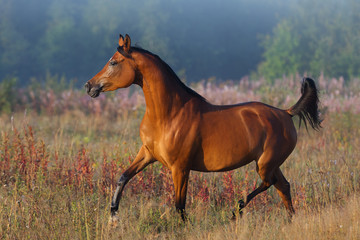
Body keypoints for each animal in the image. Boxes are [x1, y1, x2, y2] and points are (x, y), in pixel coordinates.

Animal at [85, 33, 320, 221]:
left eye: (113, 62)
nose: (89, 86)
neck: (169, 115)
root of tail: (285, 112)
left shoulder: (180, 168)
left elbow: (179, 205)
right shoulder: (147, 154)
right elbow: (123, 177)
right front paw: (113, 214)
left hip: (265, 163)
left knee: (269, 183)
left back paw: (236, 210)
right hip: (271, 163)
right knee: (283, 187)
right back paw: (288, 221)